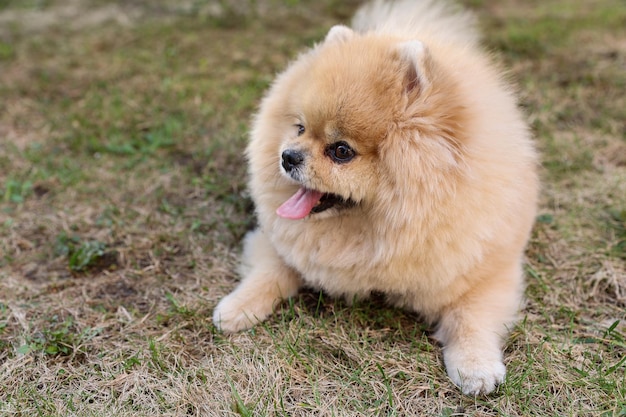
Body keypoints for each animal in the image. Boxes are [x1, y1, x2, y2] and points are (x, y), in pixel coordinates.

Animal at [213, 0, 536, 394]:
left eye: (341, 151)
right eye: (300, 128)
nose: (288, 156)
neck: (374, 230)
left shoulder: (485, 270)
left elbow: (469, 317)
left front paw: (476, 366)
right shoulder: (282, 242)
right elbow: (270, 272)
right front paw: (237, 308)